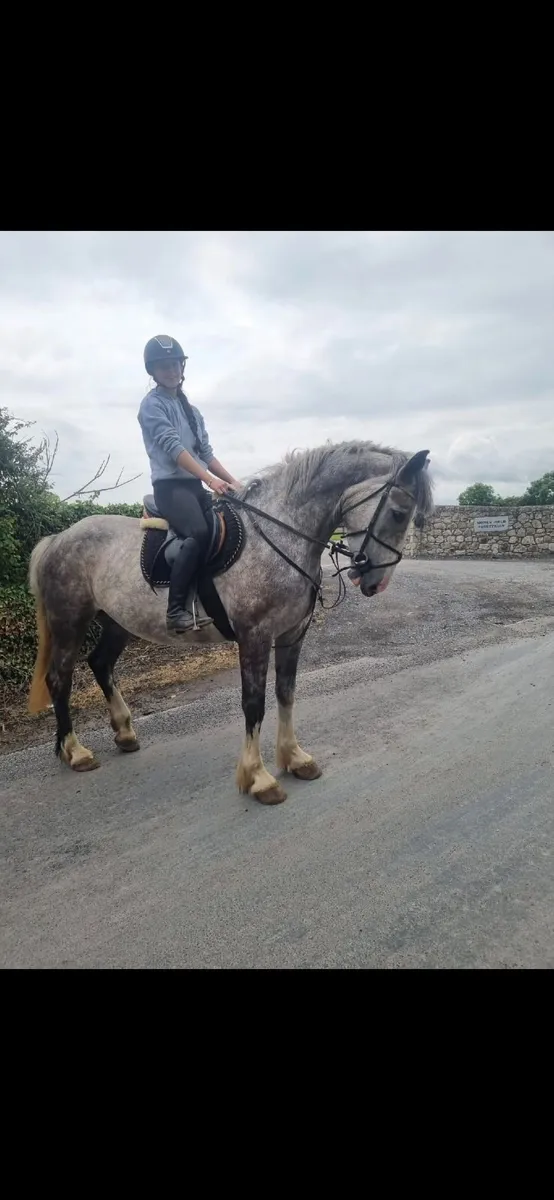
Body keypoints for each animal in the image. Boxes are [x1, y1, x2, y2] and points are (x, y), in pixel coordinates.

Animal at [27, 440, 433, 804]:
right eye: (399, 511)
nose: (375, 583)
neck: (279, 534)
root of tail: (58, 538)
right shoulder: (254, 636)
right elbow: (254, 704)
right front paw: (259, 778)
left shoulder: (291, 634)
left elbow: (286, 693)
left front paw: (295, 758)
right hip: (69, 621)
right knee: (59, 679)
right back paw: (75, 751)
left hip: (117, 622)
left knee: (100, 664)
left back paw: (124, 734)